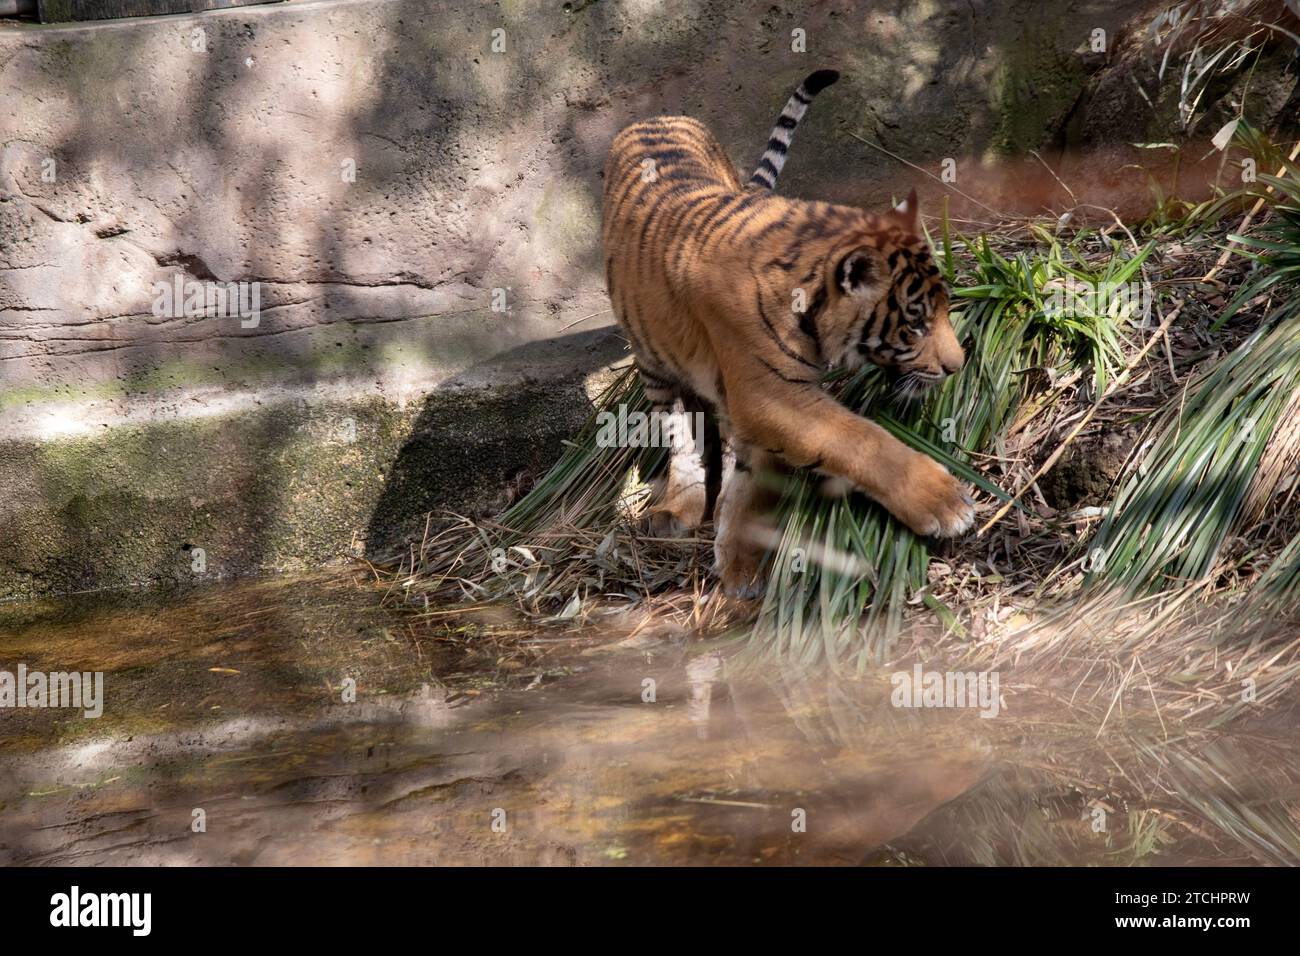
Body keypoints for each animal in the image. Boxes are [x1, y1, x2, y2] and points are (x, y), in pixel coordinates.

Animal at [600, 69, 974, 597]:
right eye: (916, 322)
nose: (957, 366)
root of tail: (656, 116)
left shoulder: (761, 403)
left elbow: (756, 480)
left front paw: (741, 560)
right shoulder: (769, 393)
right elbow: (860, 440)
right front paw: (945, 502)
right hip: (652, 360)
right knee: (677, 431)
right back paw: (679, 506)